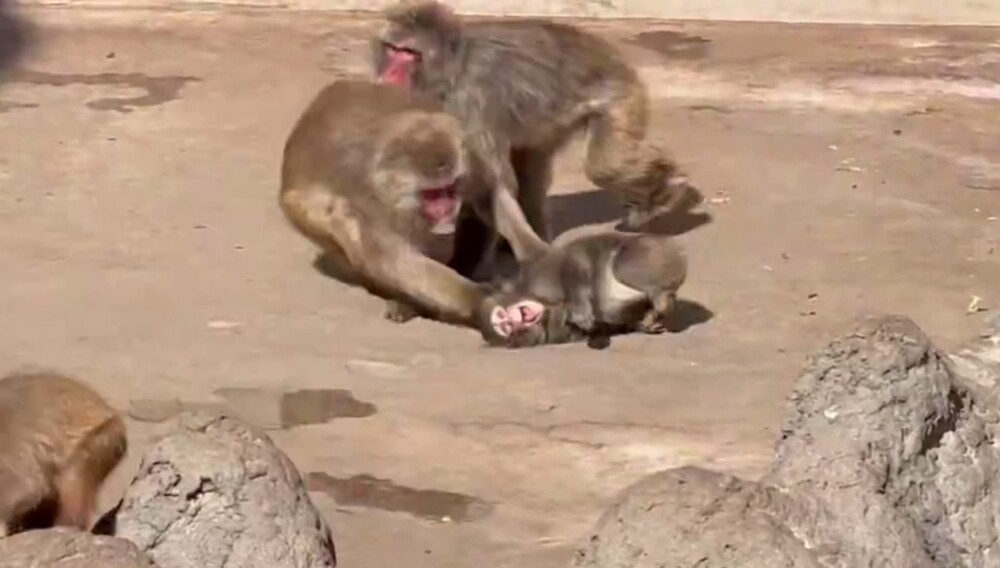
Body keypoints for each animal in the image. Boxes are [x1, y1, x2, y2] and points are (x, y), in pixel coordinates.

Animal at [279, 78, 553, 326]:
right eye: (432, 194)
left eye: (450, 189)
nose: (447, 209)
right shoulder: (369, 203)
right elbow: (391, 257)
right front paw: (480, 297)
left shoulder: (468, 161)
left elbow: (489, 194)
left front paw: (537, 253)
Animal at [371, 0, 704, 269]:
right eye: (392, 49)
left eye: (408, 53)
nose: (389, 75)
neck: (449, 72)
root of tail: (608, 51)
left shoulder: (471, 103)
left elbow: (490, 185)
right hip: (550, 124)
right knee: (533, 172)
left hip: (620, 96)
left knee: (605, 164)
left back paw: (667, 187)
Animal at [476, 229, 688, 349]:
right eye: (508, 333)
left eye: (502, 317)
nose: (508, 323)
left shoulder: (549, 269)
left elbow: (576, 267)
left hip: (642, 253)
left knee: (620, 264)